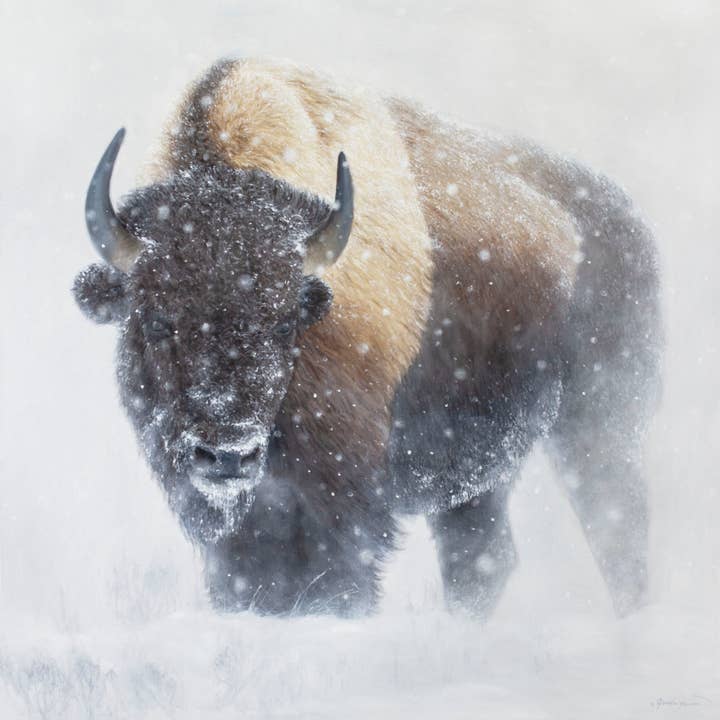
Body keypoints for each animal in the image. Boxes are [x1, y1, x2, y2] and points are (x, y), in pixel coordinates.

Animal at [73, 58, 662, 617]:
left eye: (285, 322)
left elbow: (340, 581)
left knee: (618, 537)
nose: (227, 454)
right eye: (155, 320)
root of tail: (624, 217)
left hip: (599, 424)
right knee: (483, 560)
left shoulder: (343, 497)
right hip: (479, 474)